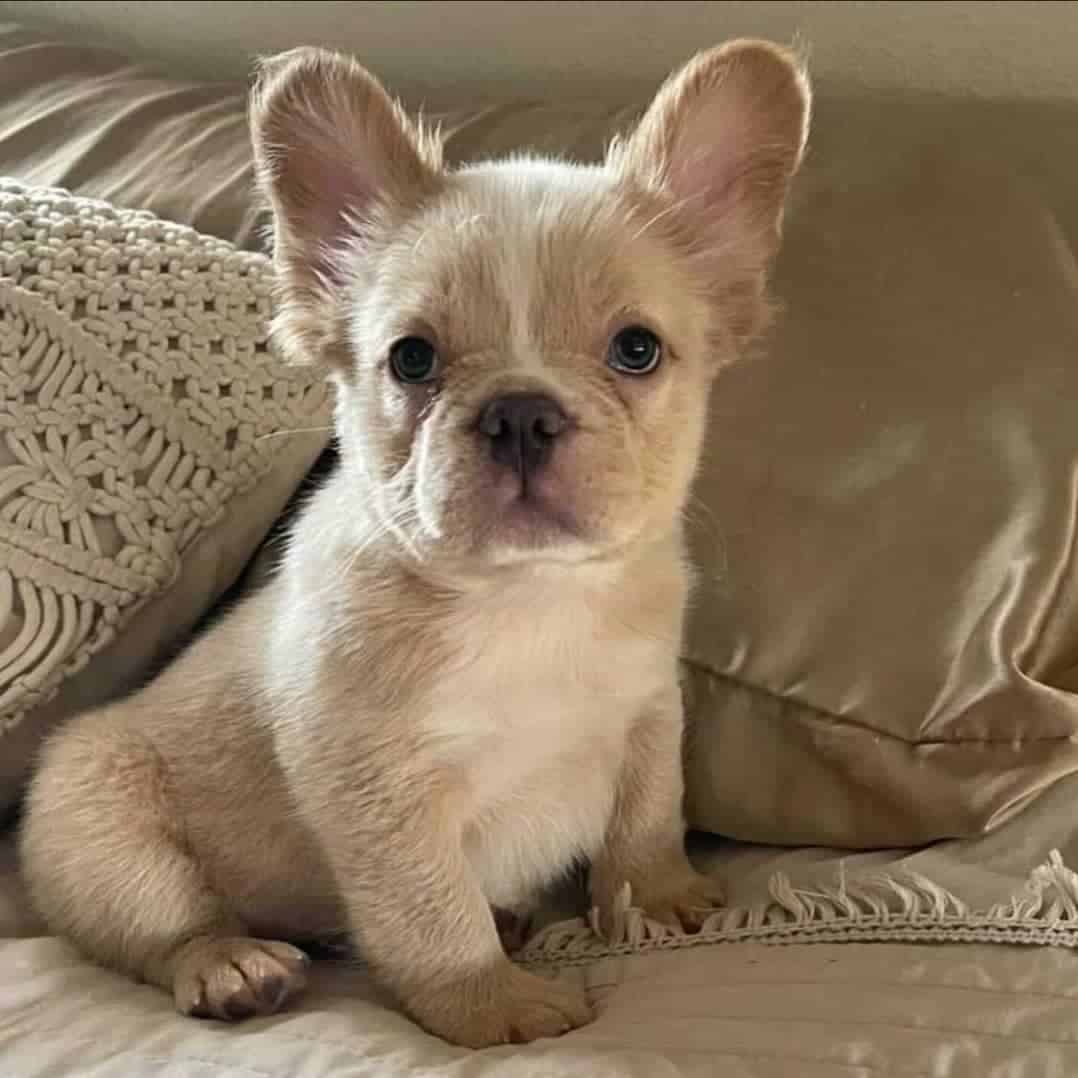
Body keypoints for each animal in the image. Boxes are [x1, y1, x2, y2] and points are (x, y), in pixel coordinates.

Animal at [18, 39, 810, 1043]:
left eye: (637, 351)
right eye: (412, 360)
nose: (520, 411)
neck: (528, 596)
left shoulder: (645, 712)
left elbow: (647, 813)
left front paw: (658, 895)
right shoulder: (380, 791)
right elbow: (432, 910)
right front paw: (493, 1002)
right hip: (99, 820)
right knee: (163, 926)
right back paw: (232, 964)